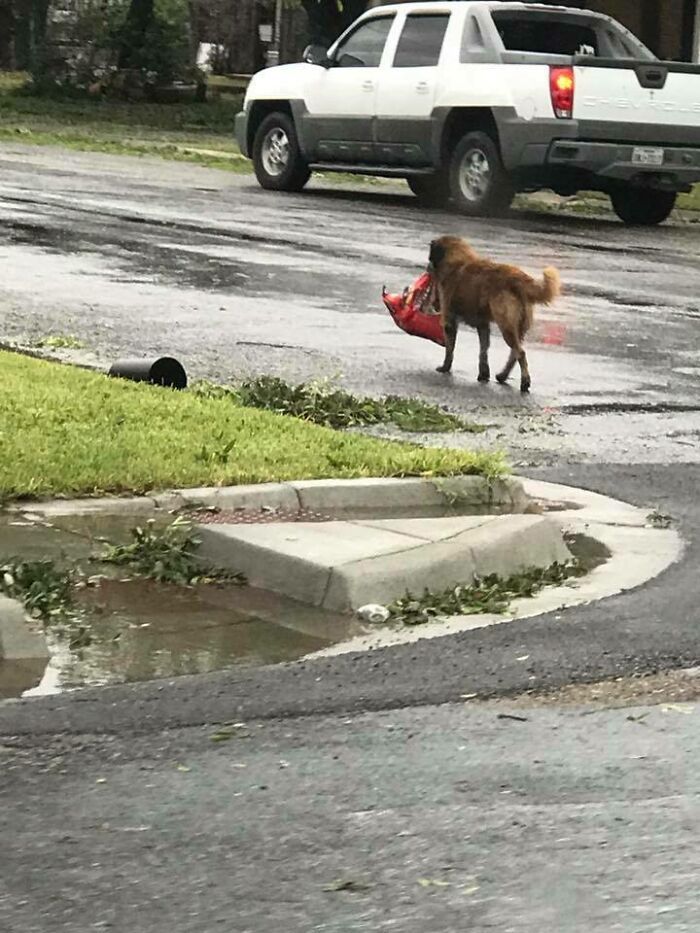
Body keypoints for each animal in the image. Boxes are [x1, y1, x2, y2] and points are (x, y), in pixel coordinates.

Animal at [426, 237, 564, 394]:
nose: (427, 267)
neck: (457, 260)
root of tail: (517, 277)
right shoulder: (483, 325)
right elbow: (483, 350)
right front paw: (484, 374)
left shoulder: (450, 320)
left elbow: (450, 349)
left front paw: (445, 368)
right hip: (518, 327)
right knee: (514, 353)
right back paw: (503, 376)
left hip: (506, 326)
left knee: (520, 353)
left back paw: (524, 382)